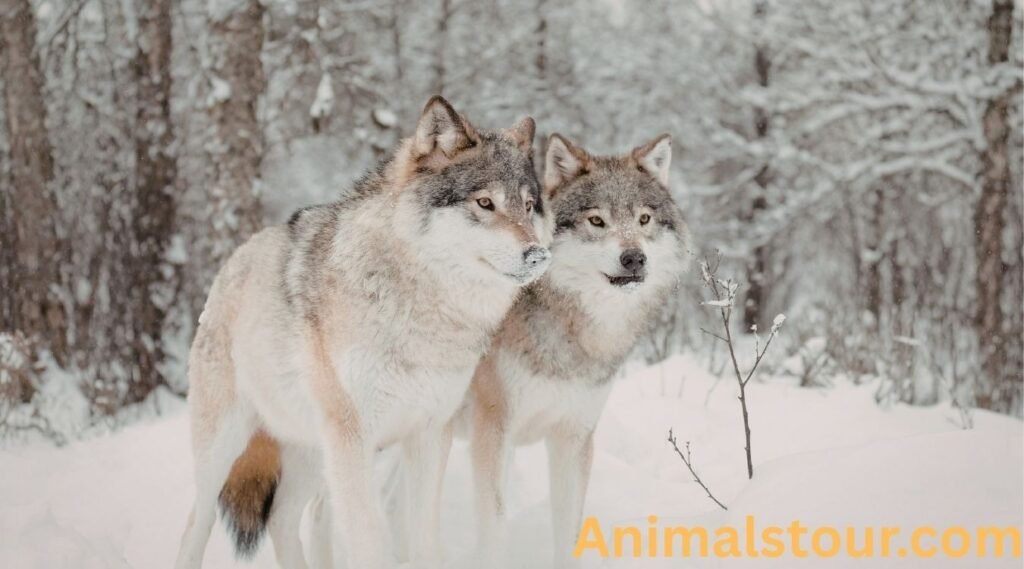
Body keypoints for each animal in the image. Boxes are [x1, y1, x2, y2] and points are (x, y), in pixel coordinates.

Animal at [174, 96, 550, 569]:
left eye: (528, 205)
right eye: (484, 203)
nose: (539, 256)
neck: (422, 308)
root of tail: (235, 258)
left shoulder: (429, 434)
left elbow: (423, 540)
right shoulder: (355, 441)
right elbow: (370, 541)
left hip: (316, 455)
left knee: (283, 518)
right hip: (225, 450)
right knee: (197, 521)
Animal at [466, 133, 689, 568]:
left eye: (643, 220)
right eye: (597, 221)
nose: (634, 258)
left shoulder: (573, 438)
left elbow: (568, 534)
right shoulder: (492, 435)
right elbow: (494, 532)